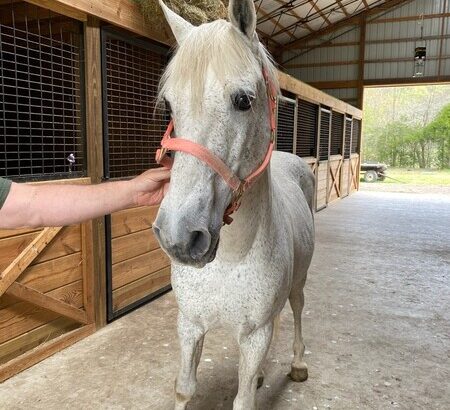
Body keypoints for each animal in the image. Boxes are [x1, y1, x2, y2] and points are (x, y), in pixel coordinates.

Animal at [153, 1, 314, 408]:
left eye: (243, 100)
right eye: (170, 105)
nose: (179, 236)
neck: (230, 258)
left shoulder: (256, 335)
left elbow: (242, 400)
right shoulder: (189, 325)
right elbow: (185, 387)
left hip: (299, 283)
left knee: (298, 309)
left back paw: (298, 364)